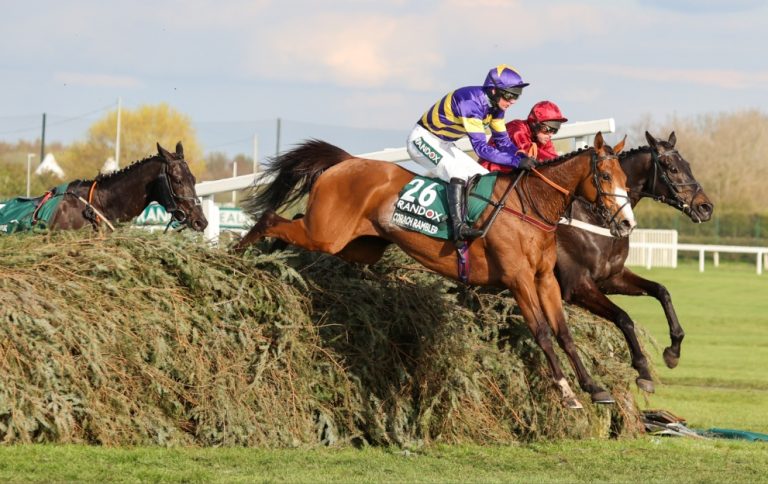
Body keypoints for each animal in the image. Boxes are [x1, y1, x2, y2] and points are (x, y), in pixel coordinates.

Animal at [237, 132, 640, 408]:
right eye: (605, 177)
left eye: (626, 178)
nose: (627, 224)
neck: (532, 206)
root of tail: (347, 160)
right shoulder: (519, 280)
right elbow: (542, 333)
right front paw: (566, 392)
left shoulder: (544, 280)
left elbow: (564, 333)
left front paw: (594, 388)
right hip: (326, 234)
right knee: (271, 217)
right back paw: (239, 255)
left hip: (355, 246)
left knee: (289, 225)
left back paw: (269, 256)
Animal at [552, 131, 712, 394]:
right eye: (672, 168)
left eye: (688, 165)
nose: (706, 207)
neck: (596, 217)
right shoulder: (577, 286)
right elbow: (624, 318)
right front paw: (643, 369)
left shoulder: (611, 278)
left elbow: (661, 291)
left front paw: (673, 350)